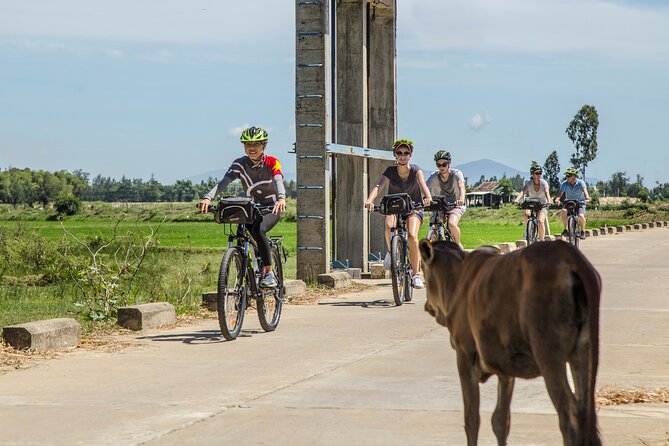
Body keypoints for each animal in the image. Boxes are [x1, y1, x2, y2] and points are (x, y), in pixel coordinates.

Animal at [418, 240, 600, 446]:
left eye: (424, 268)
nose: (427, 305)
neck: (457, 282)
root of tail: (570, 257)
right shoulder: (504, 365)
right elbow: (500, 420)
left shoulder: (464, 353)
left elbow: (471, 418)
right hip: (585, 348)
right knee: (586, 412)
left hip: (548, 353)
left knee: (570, 415)